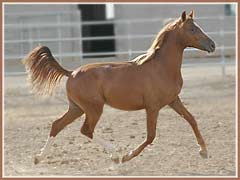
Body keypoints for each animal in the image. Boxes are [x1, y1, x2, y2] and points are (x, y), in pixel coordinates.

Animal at [23, 10, 216, 165]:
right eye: (192, 29)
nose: (212, 45)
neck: (161, 67)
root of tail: (71, 73)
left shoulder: (173, 100)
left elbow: (192, 119)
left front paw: (204, 152)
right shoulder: (152, 107)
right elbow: (151, 136)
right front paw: (127, 156)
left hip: (77, 108)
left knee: (57, 125)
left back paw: (38, 158)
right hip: (93, 109)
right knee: (86, 130)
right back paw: (115, 154)